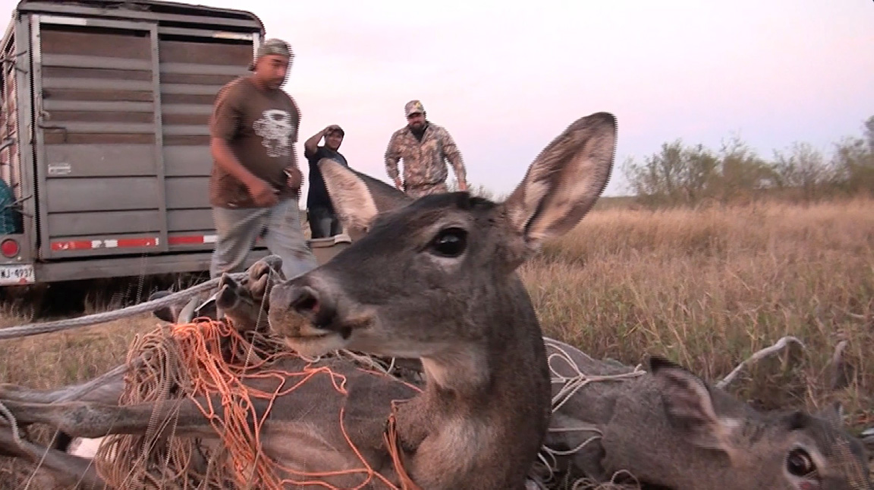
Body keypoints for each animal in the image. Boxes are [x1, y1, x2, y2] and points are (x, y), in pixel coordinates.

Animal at [0, 111, 619, 489]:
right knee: (62, 397)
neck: (418, 453)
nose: (289, 298)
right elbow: (88, 413)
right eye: (365, 233)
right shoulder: (266, 400)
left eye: (449, 240)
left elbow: (78, 435)